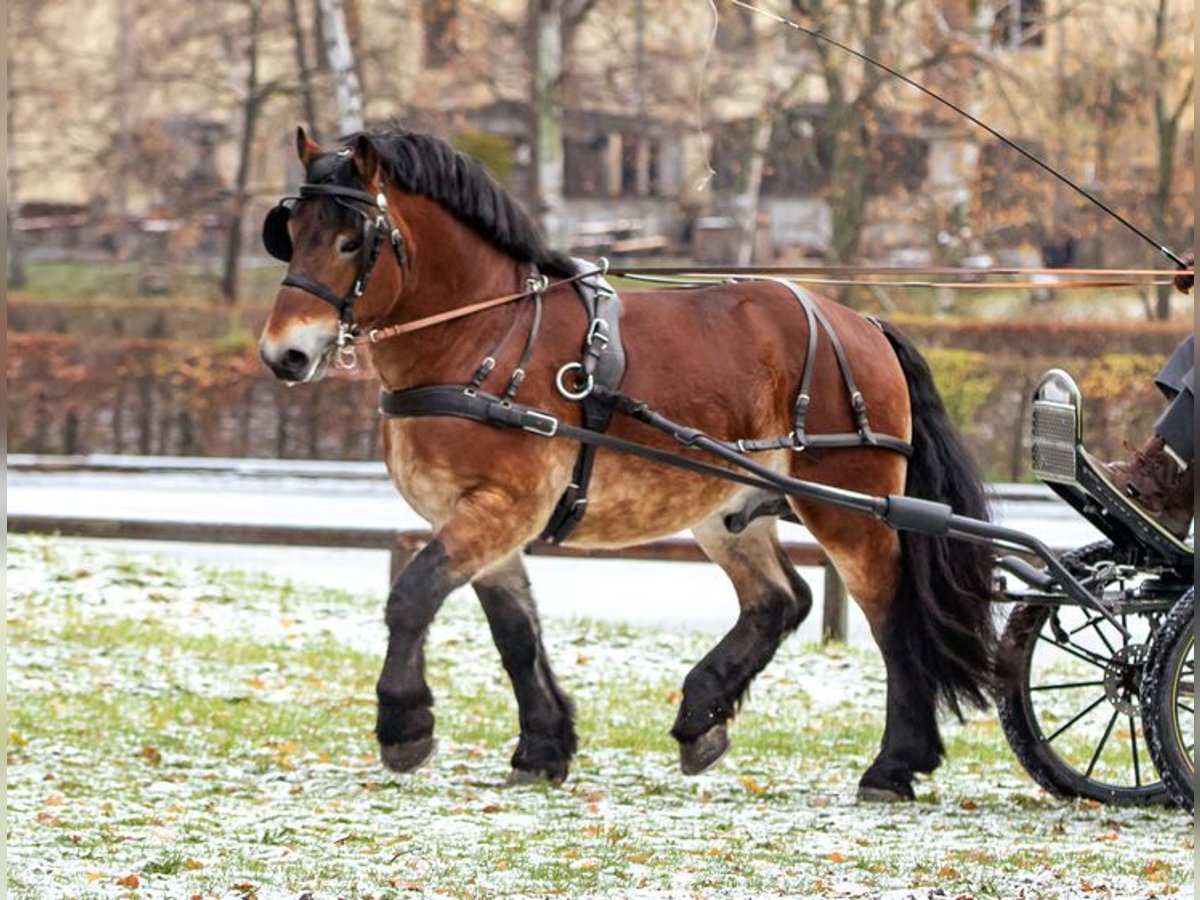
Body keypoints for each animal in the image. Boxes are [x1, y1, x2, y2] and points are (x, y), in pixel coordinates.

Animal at [255, 125, 993, 801]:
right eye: (290, 231)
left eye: (352, 240)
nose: (283, 354)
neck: (483, 337)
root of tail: (863, 324)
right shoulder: (478, 519)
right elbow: (515, 631)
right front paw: (543, 747)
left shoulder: (499, 507)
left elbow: (412, 596)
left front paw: (404, 724)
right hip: (730, 508)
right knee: (778, 600)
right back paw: (700, 717)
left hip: (848, 509)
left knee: (890, 618)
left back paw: (895, 764)